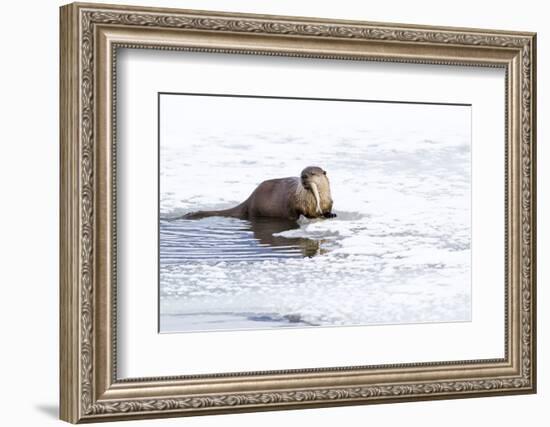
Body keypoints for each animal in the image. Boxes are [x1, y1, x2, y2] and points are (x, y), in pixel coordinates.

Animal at [183, 166, 334, 222]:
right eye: (302, 172)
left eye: (312, 173)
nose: (303, 177)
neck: (313, 202)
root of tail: (250, 198)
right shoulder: (296, 202)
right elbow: (296, 212)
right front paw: (305, 216)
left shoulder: (328, 201)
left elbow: (328, 209)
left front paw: (330, 214)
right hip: (256, 209)